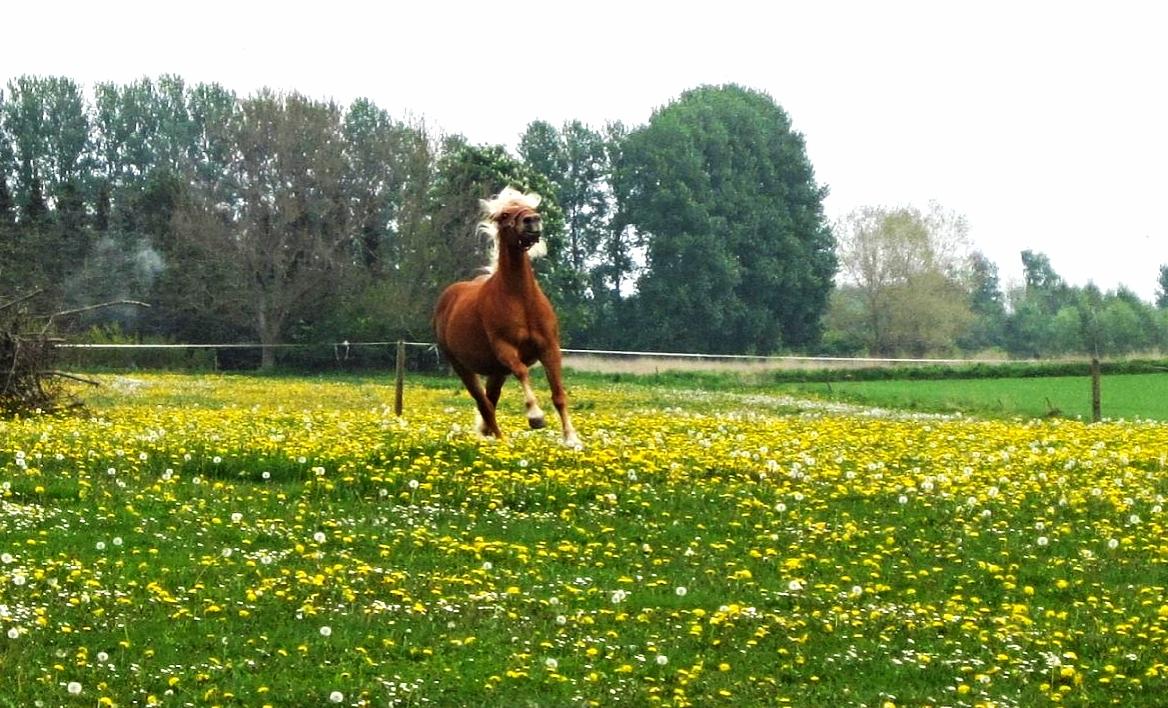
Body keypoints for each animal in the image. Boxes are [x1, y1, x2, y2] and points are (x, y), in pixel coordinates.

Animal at [434, 185, 579, 446]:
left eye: (531, 208)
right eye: (504, 215)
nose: (532, 221)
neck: (521, 299)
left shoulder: (549, 348)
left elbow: (559, 394)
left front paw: (572, 439)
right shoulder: (506, 349)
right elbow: (522, 371)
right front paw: (535, 416)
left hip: (496, 372)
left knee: (490, 401)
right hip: (463, 367)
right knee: (484, 404)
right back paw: (502, 443)